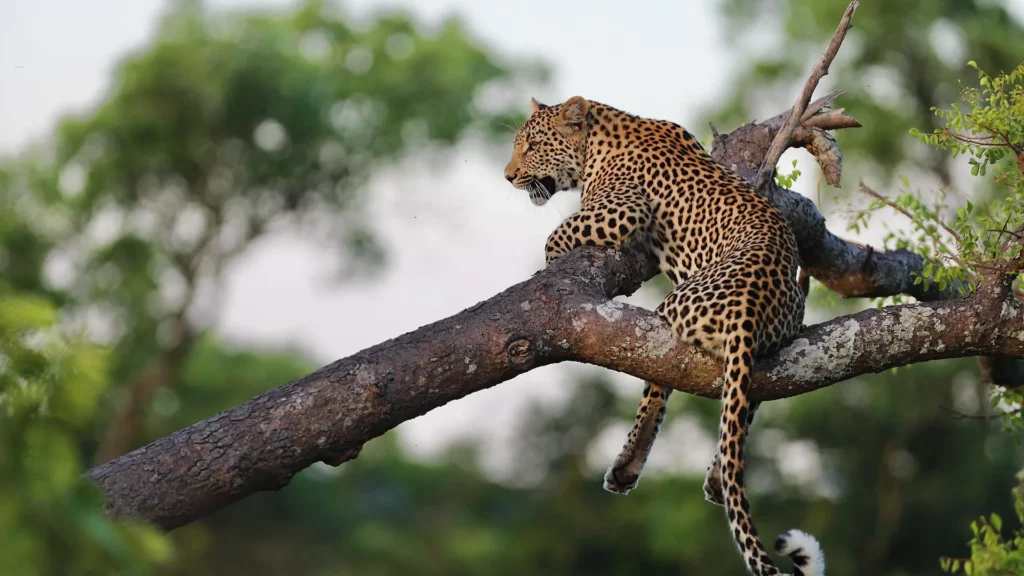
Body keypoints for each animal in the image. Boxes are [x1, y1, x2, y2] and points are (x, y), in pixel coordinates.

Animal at [503, 95, 826, 576]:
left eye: (533, 145)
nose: (507, 176)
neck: (600, 133)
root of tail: (751, 306)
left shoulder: (620, 208)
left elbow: (555, 235)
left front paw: (547, 264)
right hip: (777, 340)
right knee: (745, 405)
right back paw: (716, 478)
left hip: (670, 312)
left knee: (658, 385)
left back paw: (627, 466)